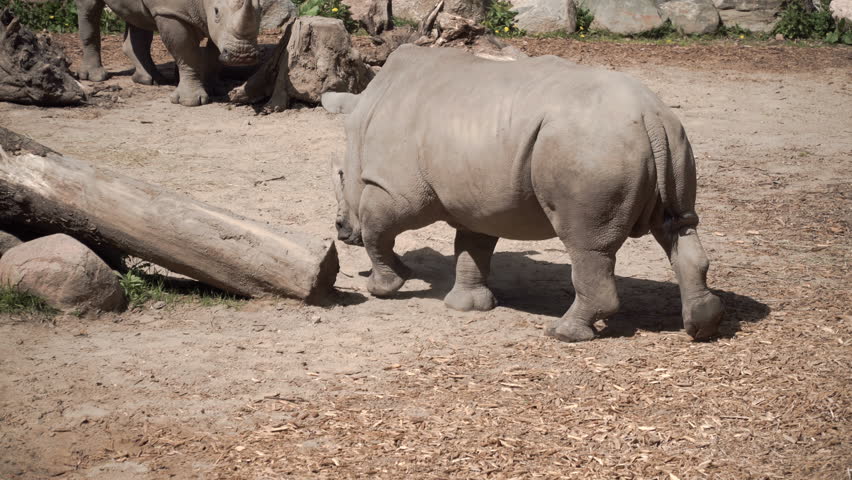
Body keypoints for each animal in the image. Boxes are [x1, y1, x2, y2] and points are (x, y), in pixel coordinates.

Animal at [76, 0, 261, 106]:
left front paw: (215, 89)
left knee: (138, 16)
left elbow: (213, 53)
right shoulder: (170, 12)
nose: (243, 56)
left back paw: (151, 80)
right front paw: (190, 102)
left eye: (260, 11)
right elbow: (187, 54)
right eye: (216, 12)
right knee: (89, 10)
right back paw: (96, 77)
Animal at [324, 45, 724, 342]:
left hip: (590, 146)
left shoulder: (396, 190)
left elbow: (377, 230)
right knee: (678, 227)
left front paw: (383, 287)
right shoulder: (477, 199)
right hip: (671, 140)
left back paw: (564, 333)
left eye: (341, 176)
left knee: (587, 245)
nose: (340, 229)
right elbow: (472, 247)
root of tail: (651, 116)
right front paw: (466, 306)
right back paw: (703, 326)